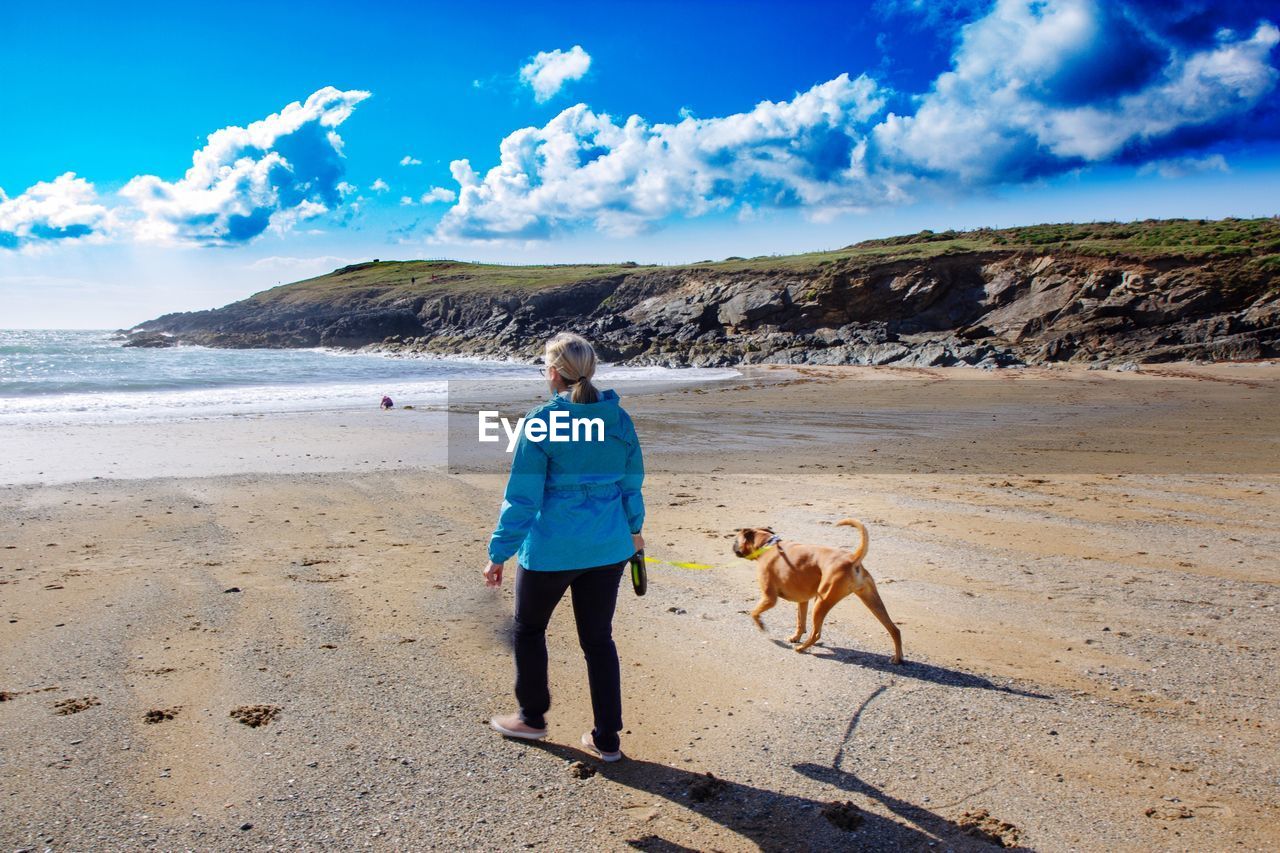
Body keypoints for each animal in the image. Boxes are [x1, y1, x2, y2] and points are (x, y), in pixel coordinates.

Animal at [737, 514, 906, 660]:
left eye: (735, 539)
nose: (733, 547)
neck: (767, 545)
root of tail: (852, 559)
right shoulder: (802, 601)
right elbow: (800, 622)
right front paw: (795, 637)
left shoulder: (769, 598)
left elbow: (754, 612)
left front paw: (761, 625)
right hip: (872, 601)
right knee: (894, 629)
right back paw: (897, 658)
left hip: (821, 602)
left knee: (816, 634)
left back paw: (802, 648)